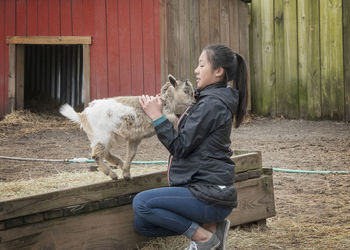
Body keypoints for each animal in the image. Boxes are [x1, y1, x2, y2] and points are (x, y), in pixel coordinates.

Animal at [58, 74, 193, 180]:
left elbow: (131, 153)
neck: (165, 103)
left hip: (105, 136)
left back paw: (120, 164)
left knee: (105, 153)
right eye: (186, 91)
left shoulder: (136, 137)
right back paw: (112, 174)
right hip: (102, 135)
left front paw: (127, 173)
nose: (194, 101)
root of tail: (82, 115)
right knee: (96, 155)